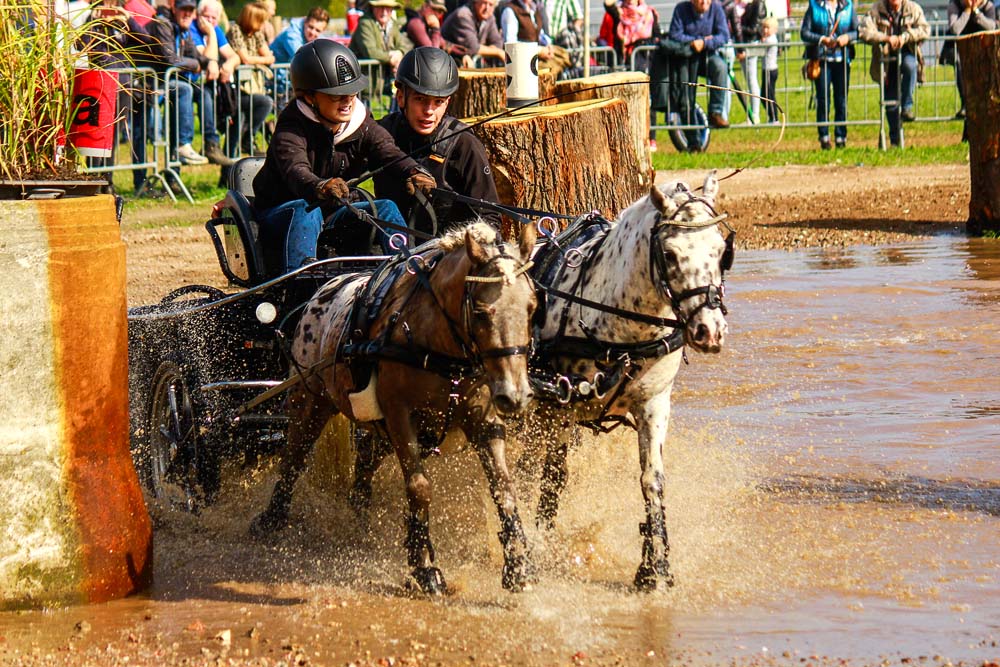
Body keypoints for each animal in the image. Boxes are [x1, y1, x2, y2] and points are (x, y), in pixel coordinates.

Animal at [248, 223, 540, 596]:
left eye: (532, 307)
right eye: (479, 312)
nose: (515, 396)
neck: (435, 340)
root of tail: (321, 291)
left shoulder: (483, 418)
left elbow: (503, 487)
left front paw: (518, 564)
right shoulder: (401, 416)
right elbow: (419, 487)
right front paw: (425, 567)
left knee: (365, 460)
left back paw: (359, 512)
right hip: (309, 401)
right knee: (294, 456)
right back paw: (273, 516)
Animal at [528, 175, 732, 592]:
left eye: (721, 251)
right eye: (669, 254)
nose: (710, 331)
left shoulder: (653, 405)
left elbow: (651, 480)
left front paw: (655, 568)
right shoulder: (559, 407)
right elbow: (553, 478)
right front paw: (540, 546)